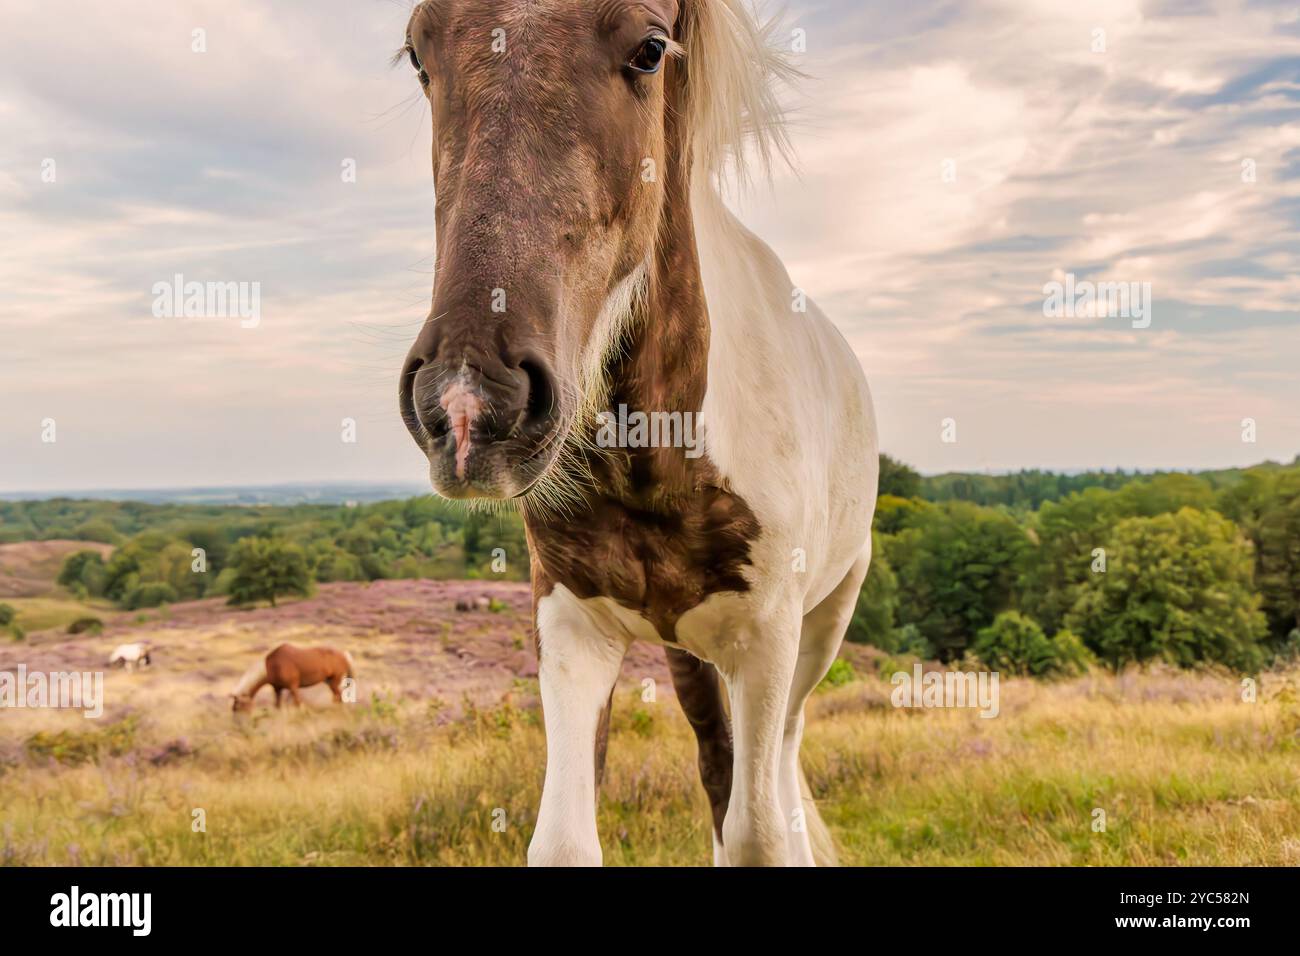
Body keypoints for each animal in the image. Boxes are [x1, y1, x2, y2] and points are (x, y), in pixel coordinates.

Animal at [396, 0, 878, 866]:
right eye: (419, 53)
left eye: (651, 49)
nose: (468, 403)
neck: (659, 457)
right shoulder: (571, 622)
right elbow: (565, 839)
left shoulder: (766, 638)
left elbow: (759, 832)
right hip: (689, 651)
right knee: (718, 763)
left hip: (821, 628)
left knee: (782, 762)